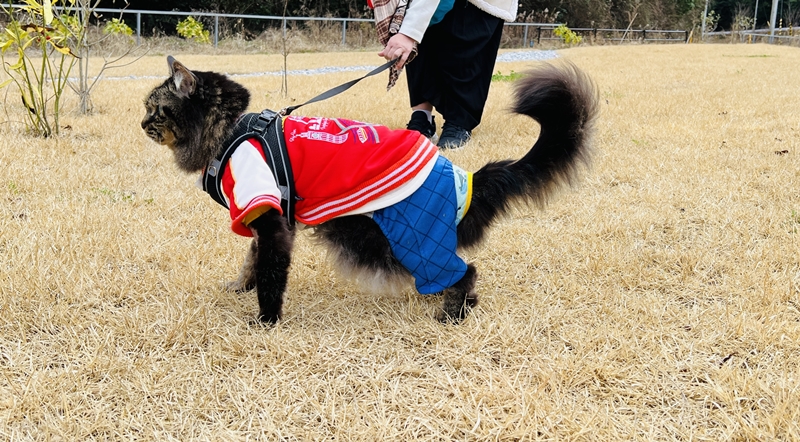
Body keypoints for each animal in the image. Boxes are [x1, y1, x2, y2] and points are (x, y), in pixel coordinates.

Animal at [142, 56, 592, 324]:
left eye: (154, 109)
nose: (141, 123)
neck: (231, 129)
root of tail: (462, 176)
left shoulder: (270, 219)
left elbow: (270, 273)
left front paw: (266, 319)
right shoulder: (264, 220)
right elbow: (252, 262)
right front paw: (241, 287)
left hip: (395, 241)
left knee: (465, 270)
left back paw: (453, 312)